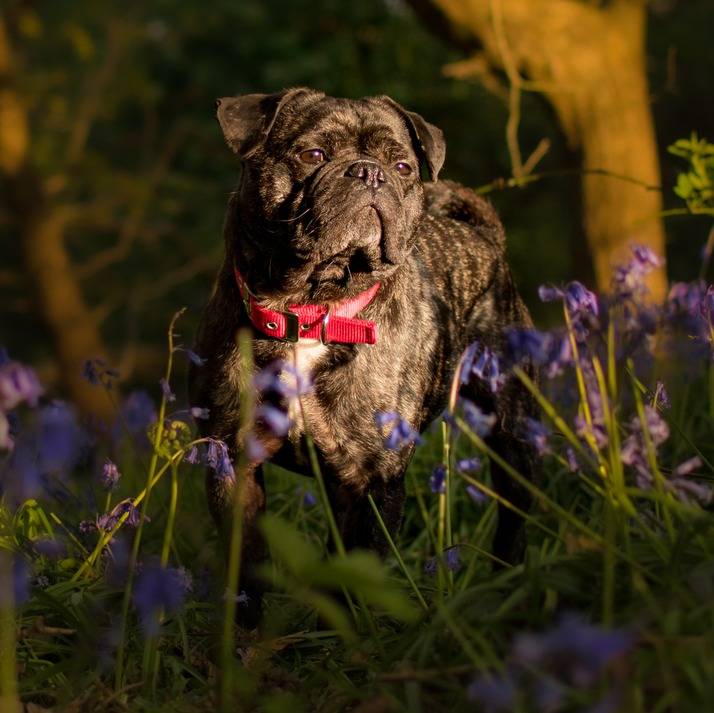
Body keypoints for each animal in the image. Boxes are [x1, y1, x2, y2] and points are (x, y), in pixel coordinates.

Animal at [189, 87, 536, 624]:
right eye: (313, 155)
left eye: (402, 166)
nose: (369, 172)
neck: (311, 308)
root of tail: (484, 235)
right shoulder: (233, 459)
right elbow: (246, 563)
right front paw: (241, 631)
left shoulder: (374, 479)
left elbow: (356, 568)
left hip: (511, 430)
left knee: (514, 514)